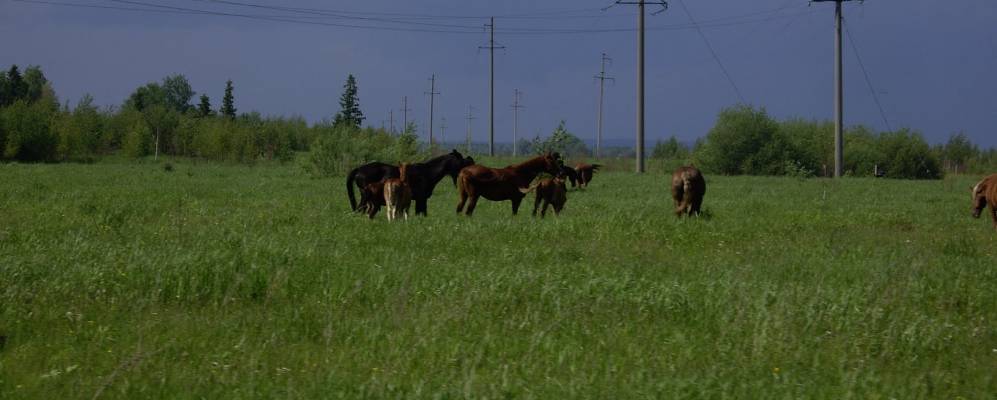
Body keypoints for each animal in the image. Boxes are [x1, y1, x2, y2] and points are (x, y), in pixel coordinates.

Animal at [346, 148, 474, 216]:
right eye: (461, 160)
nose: (471, 160)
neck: (428, 172)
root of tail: (359, 169)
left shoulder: (420, 199)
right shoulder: (421, 199)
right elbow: (422, 213)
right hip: (365, 196)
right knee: (359, 209)